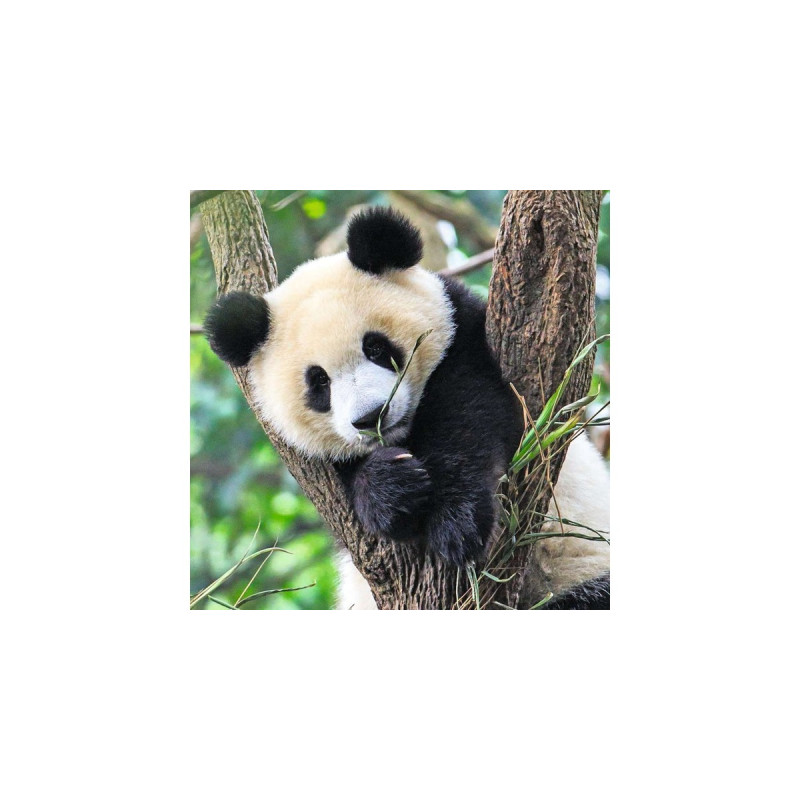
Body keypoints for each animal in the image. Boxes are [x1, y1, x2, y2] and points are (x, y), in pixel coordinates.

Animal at [204, 206, 610, 609]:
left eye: (376, 347)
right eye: (319, 382)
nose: (371, 417)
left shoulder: (465, 337)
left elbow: (472, 415)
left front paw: (457, 524)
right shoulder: (319, 470)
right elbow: (349, 487)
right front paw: (391, 488)